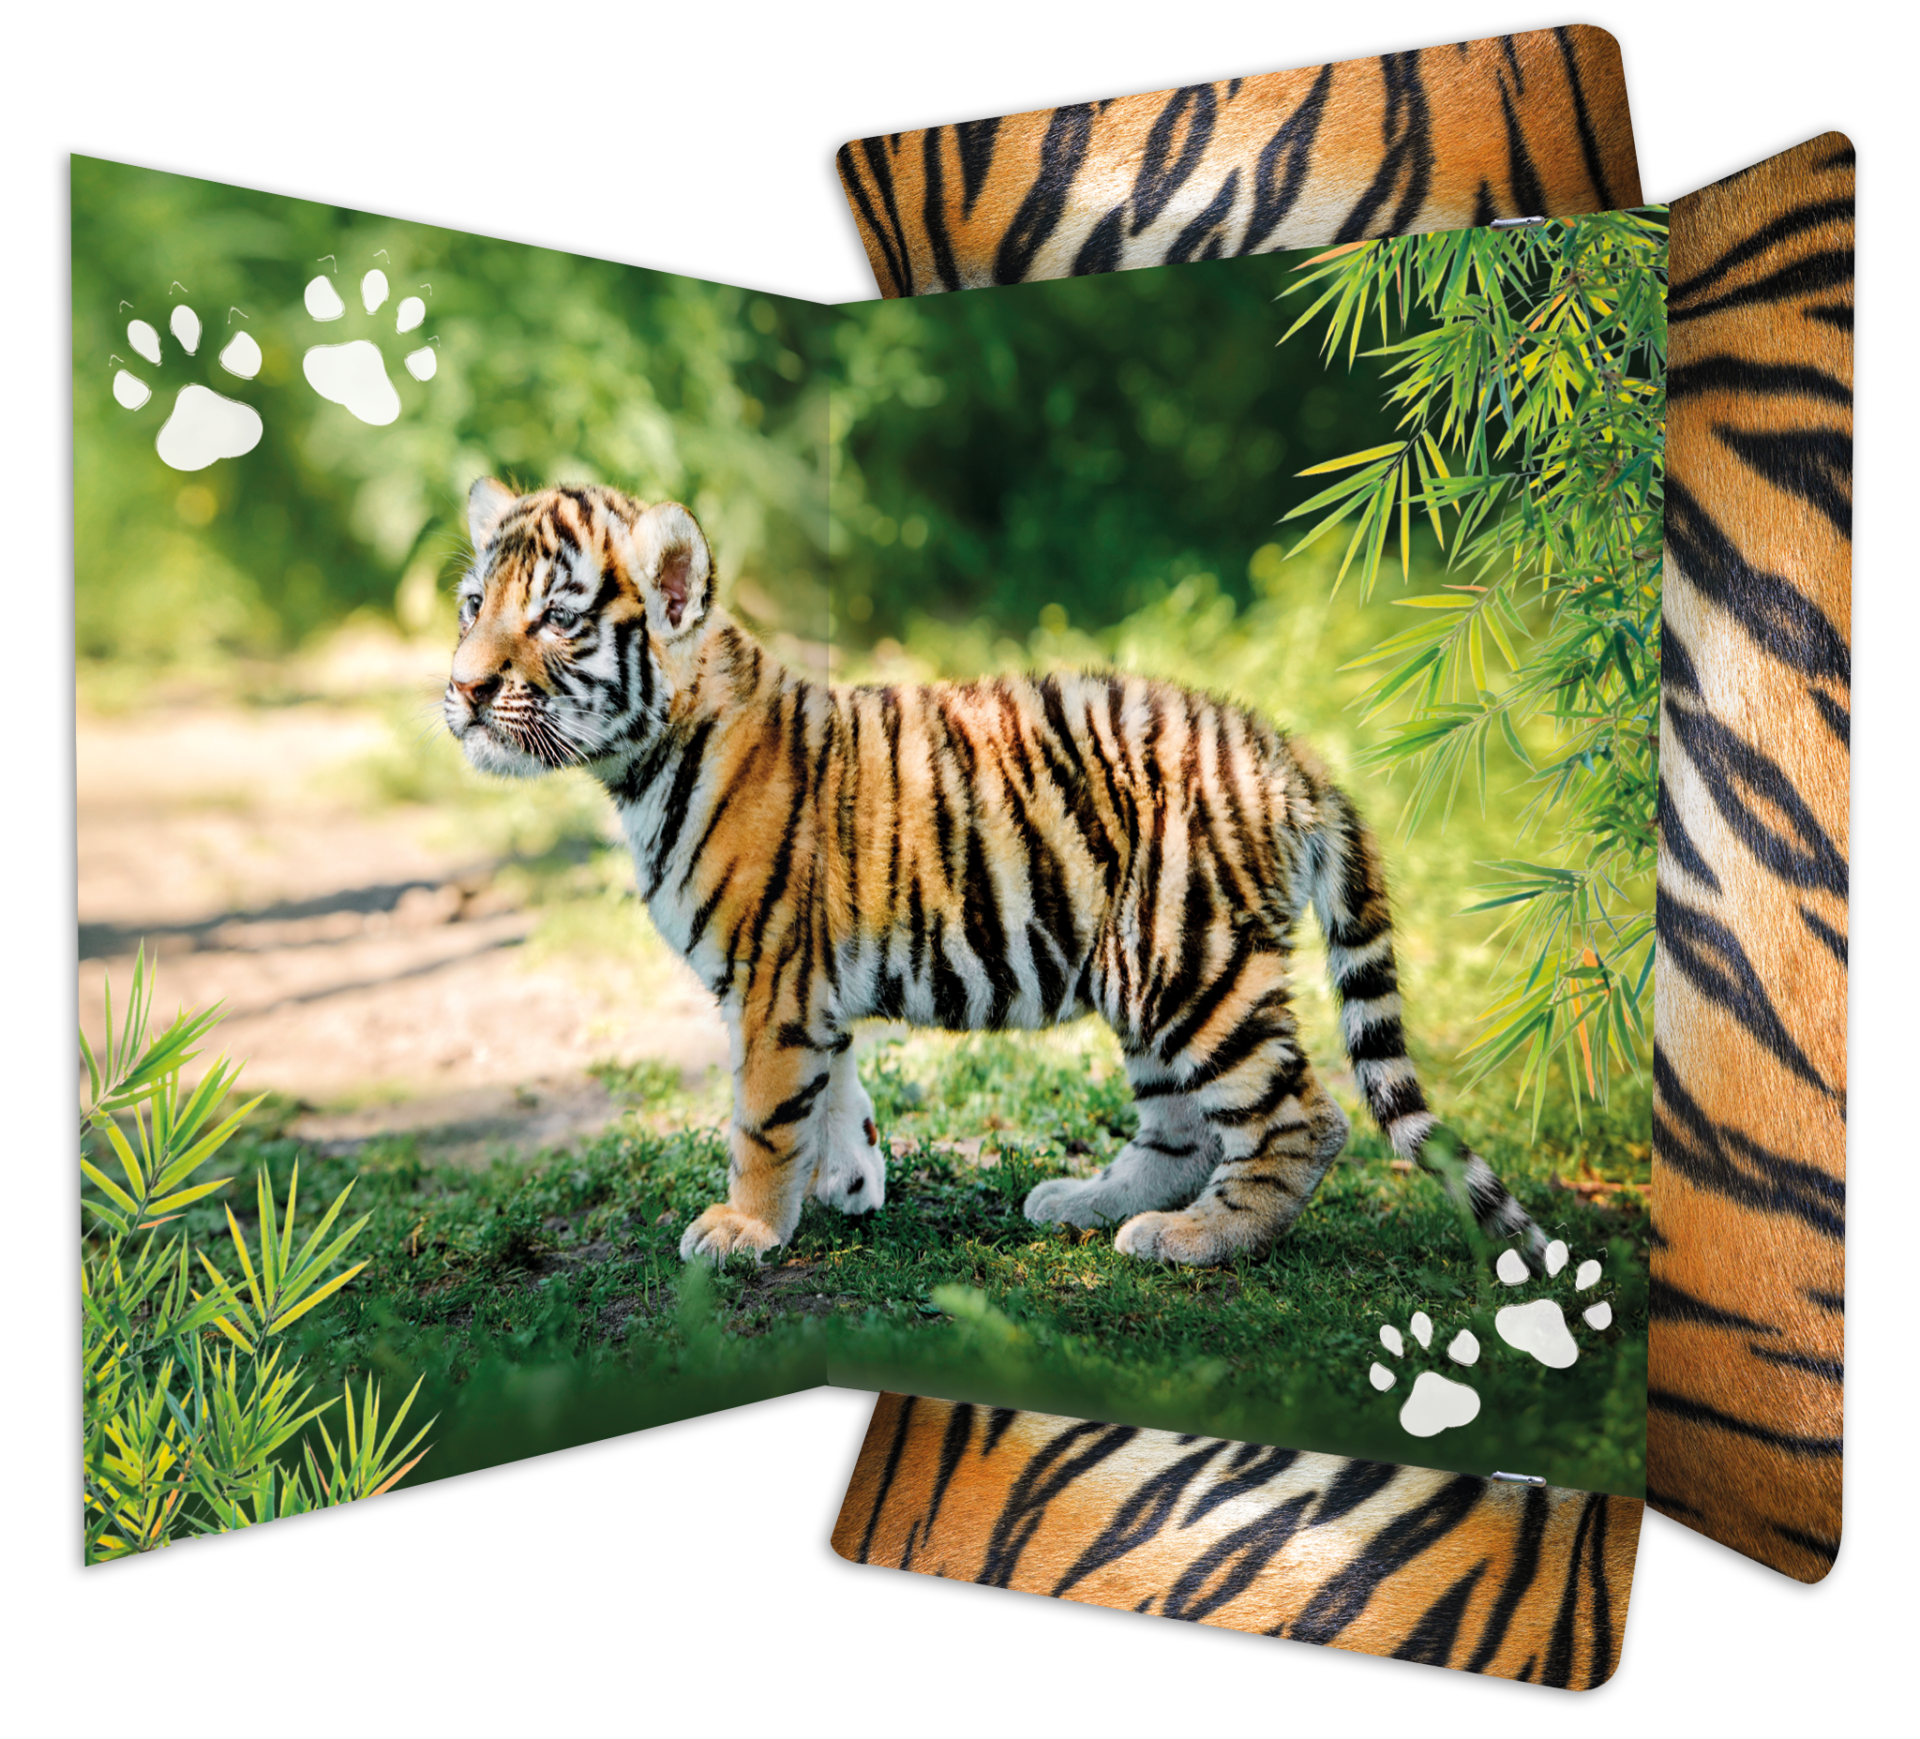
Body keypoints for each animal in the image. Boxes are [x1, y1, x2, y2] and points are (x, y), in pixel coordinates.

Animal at [446, 477, 1551, 1276]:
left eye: (556, 621)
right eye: (471, 606)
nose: (461, 689)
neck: (641, 761)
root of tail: (1289, 752)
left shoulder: (769, 980)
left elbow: (762, 1117)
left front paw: (746, 1229)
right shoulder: (805, 989)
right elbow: (832, 1088)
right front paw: (852, 1180)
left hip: (1188, 961)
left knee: (1300, 1121)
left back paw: (1196, 1240)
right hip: (1145, 973)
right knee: (1184, 1129)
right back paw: (1085, 1203)